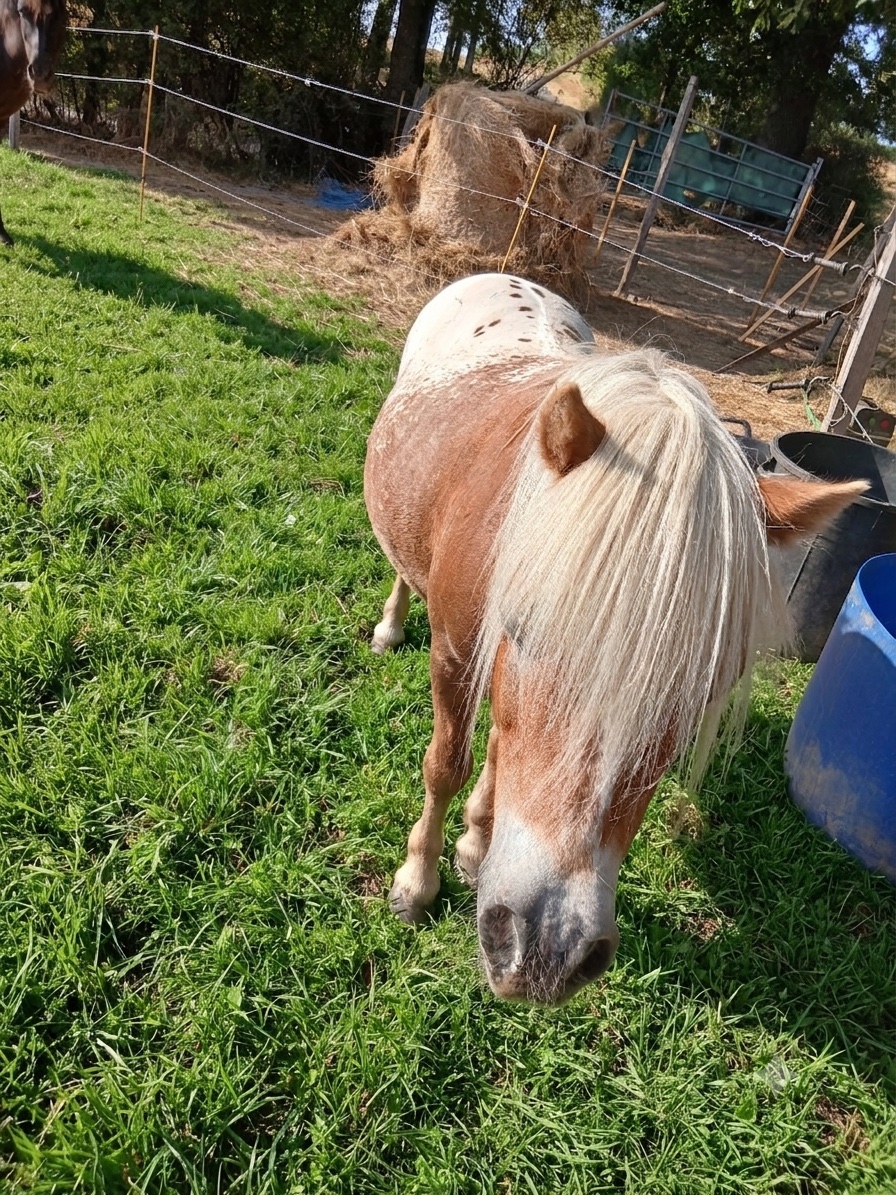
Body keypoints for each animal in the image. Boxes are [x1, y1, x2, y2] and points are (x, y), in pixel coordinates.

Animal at [364, 272, 865, 1006]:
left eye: (702, 691)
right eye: (526, 627)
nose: (547, 949)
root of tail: (506, 276)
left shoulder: (496, 673)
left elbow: (498, 755)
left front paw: (476, 847)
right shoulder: (458, 656)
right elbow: (446, 764)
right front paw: (416, 883)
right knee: (403, 571)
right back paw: (390, 625)